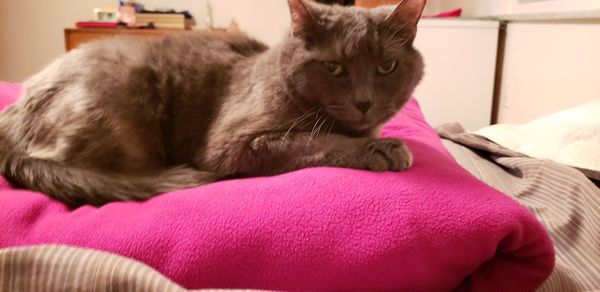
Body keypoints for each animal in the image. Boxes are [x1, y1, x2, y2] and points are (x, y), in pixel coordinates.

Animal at [0, 0, 424, 206]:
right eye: (334, 67)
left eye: (386, 66)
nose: (364, 101)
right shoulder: (233, 143)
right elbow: (314, 141)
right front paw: (382, 148)